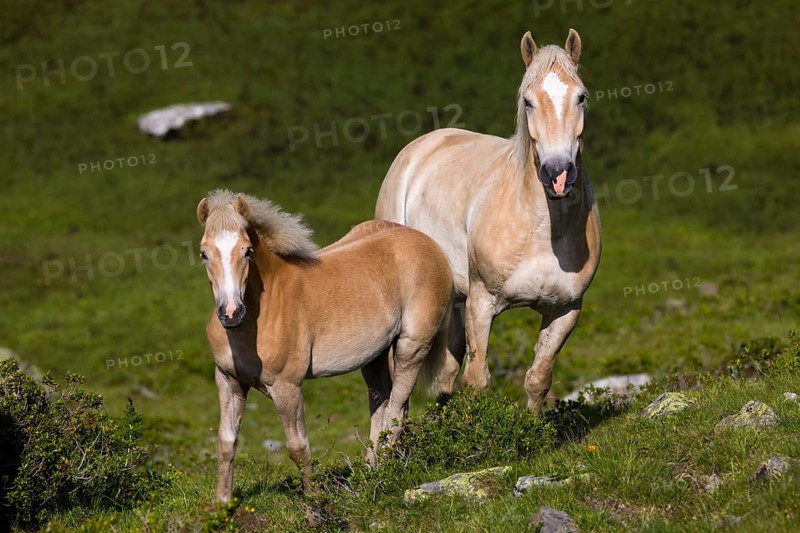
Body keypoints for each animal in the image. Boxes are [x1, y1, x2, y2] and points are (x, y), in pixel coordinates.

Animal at [196, 189, 455, 502]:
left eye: (247, 251)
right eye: (204, 253)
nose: (231, 312)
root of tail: (429, 243)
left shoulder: (286, 388)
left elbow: (298, 446)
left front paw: (314, 503)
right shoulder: (229, 382)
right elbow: (226, 442)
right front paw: (221, 505)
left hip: (411, 348)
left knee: (396, 412)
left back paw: (383, 476)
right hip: (374, 357)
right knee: (382, 406)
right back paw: (369, 474)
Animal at [375, 29, 601, 412]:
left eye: (581, 97)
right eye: (527, 101)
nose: (558, 175)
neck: (544, 230)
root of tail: (424, 143)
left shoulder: (566, 309)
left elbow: (538, 379)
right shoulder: (481, 303)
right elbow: (477, 381)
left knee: (446, 374)